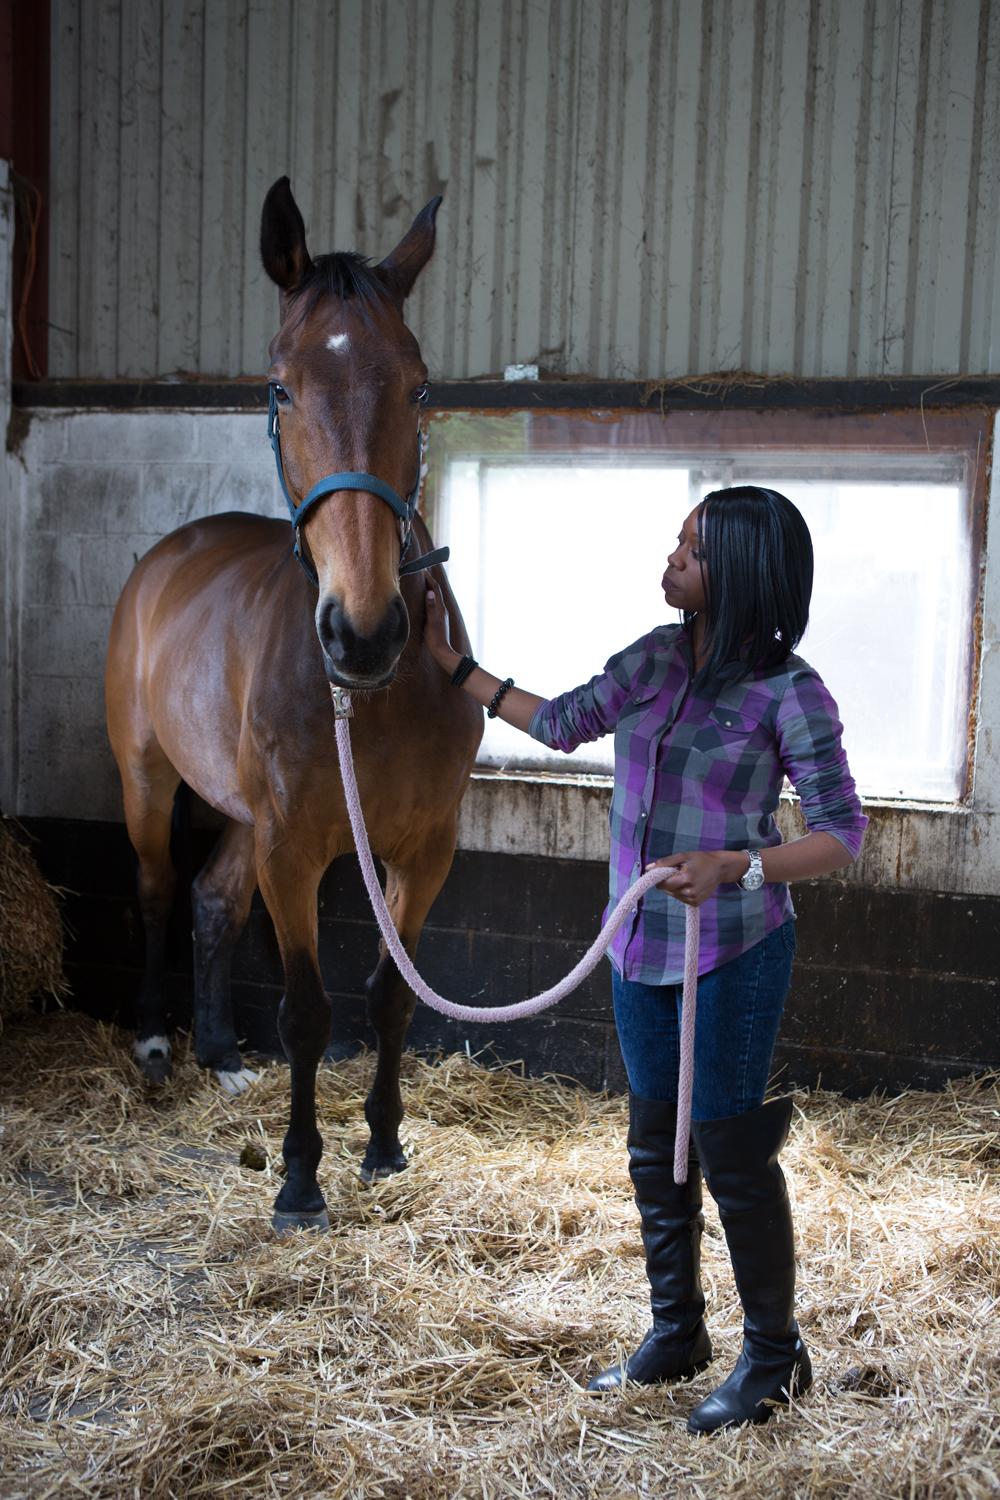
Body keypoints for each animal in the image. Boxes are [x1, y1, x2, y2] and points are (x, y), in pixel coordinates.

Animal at [105, 177, 483, 1231]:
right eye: (279, 387)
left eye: (420, 385)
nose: (363, 633)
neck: (374, 699)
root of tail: (171, 553)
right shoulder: (294, 850)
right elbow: (308, 1010)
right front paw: (301, 1179)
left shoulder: (423, 848)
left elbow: (390, 996)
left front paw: (385, 1144)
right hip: (149, 781)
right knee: (160, 887)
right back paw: (159, 1042)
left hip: (243, 814)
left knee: (211, 900)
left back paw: (218, 1052)